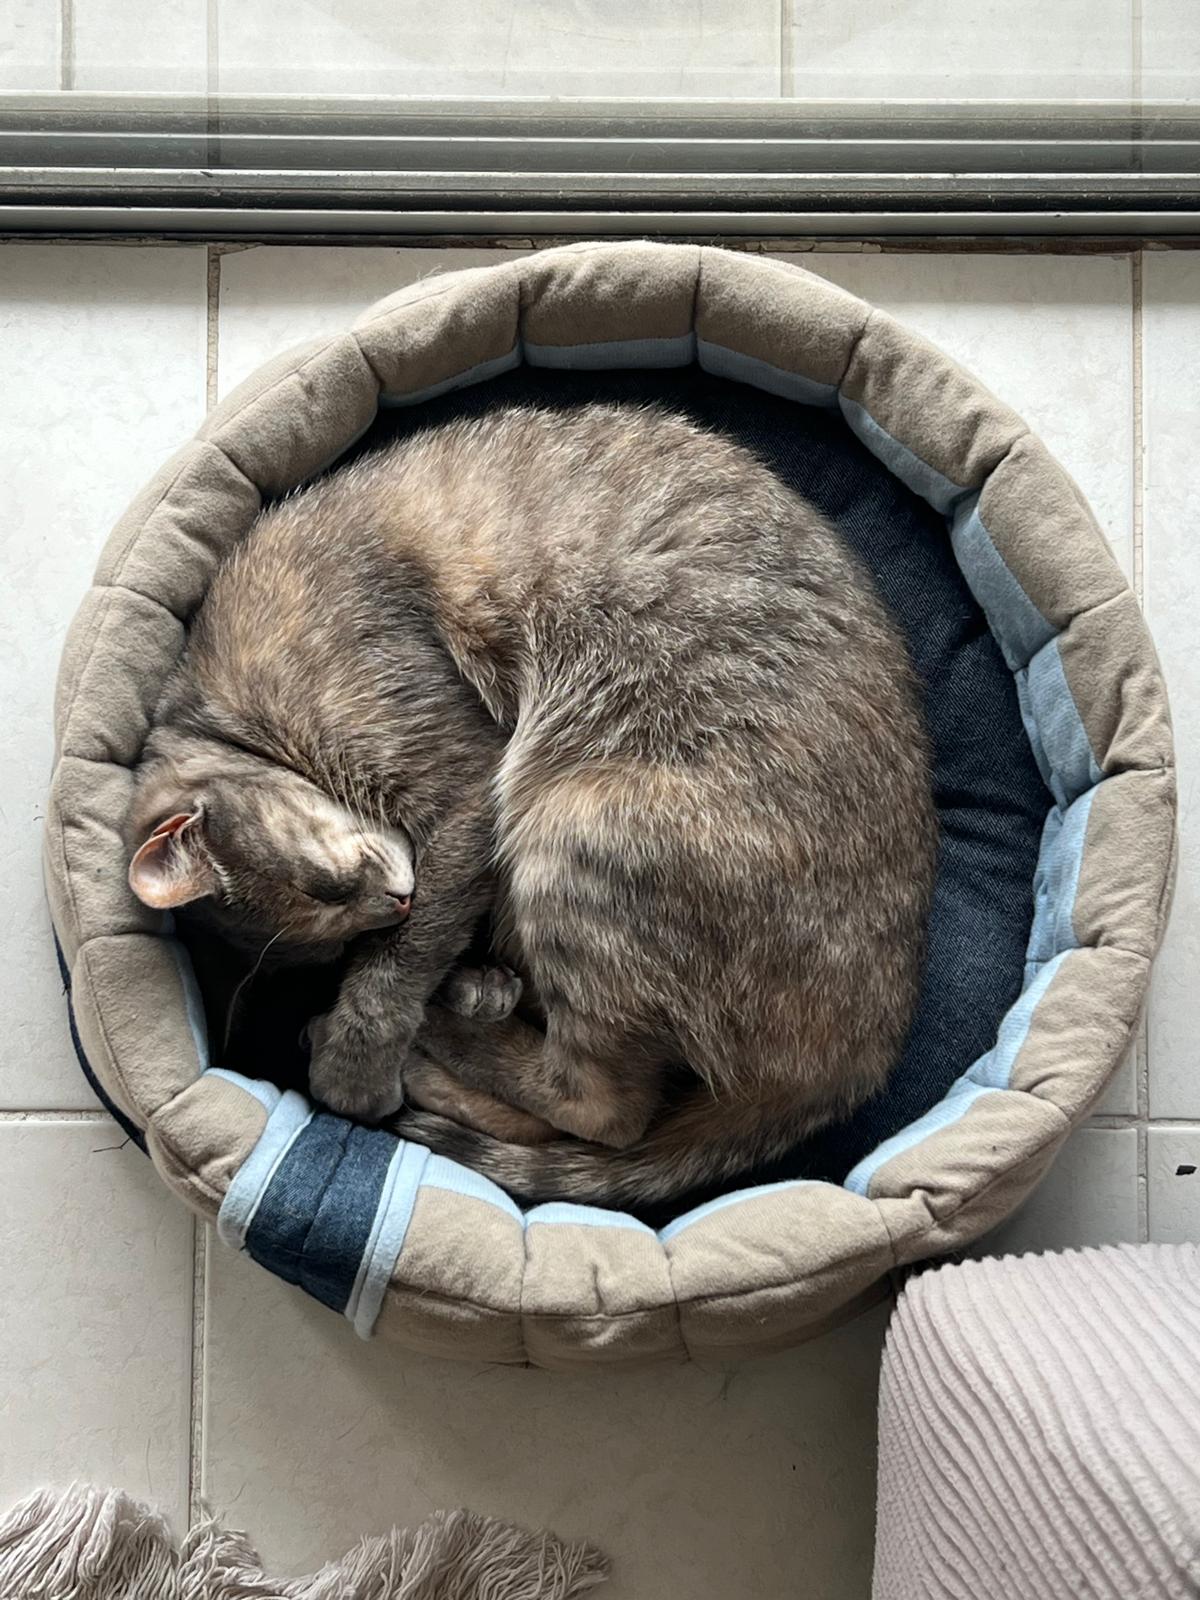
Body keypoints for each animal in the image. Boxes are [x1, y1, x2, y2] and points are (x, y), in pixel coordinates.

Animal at [127, 403, 937, 1207]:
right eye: (331, 939)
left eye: (329, 889)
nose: (396, 900)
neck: (230, 712)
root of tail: (856, 1064)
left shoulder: (462, 790)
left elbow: (400, 969)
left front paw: (356, 1068)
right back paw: (462, 1016)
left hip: (569, 832)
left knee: (608, 1111)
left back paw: (428, 1050)